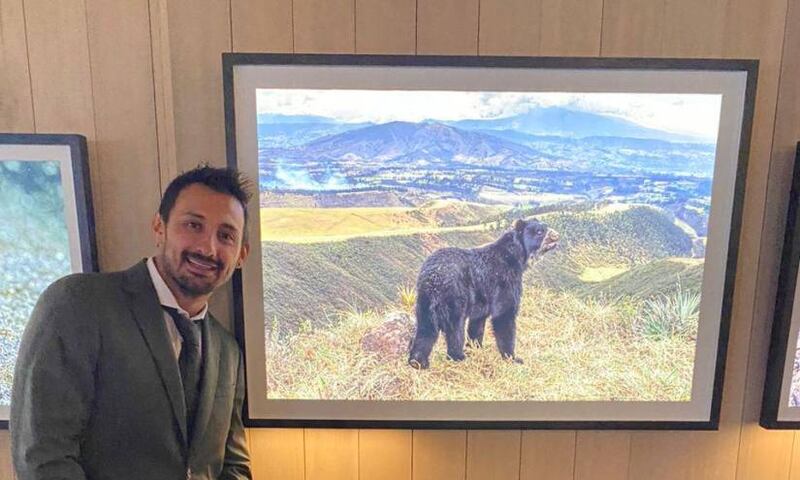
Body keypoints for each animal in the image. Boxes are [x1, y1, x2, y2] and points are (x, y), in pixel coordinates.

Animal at [410, 219, 560, 370]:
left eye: (545, 226)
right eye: (539, 231)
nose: (556, 235)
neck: (515, 257)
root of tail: (434, 278)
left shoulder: (482, 299)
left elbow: (477, 323)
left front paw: (475, 347)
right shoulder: (503, 282)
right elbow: (504, 315)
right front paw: (513, 357)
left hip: (425, 299)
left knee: (426, 329)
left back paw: (418, 361)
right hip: (454, 296)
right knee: (455, 328)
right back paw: (458, 356)